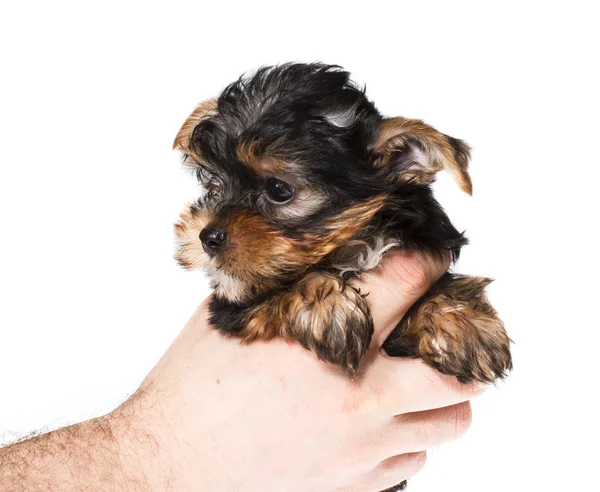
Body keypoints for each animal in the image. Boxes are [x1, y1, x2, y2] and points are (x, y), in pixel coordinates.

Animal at [173, 63, 510, 388]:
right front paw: (329, 305)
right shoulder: (233, 308)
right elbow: (287, 286)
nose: (207, 236)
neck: (356, 248)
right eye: (214, 186)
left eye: (279, 190)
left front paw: (463, 323)